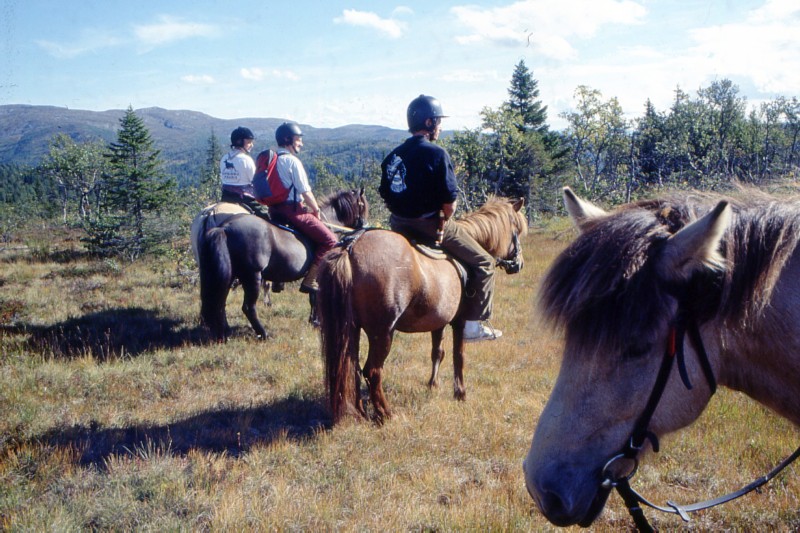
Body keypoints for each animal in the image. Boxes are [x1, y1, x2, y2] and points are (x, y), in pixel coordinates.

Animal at [197, 188, 368, 340]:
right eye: (363, 206)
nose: (364, 225)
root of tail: (224, 227)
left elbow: (312, 297)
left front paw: (313, 320)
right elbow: (314, 296)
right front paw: (316, 321)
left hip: (228, 275)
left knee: (219, 303)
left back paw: (223, 333)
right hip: (252, 276)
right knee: (248, 307)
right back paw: (263, 334)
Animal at [316, 196, 528, 424]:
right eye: (516, 230)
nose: (519, 263)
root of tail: (350, 248)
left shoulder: (439, 321)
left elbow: (438, 352)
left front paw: (433, 384)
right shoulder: (459, 321)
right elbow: (459, 355)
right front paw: (460, 393)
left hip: (352, 329)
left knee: (352, 368)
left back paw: (361, 411)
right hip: (382, 333)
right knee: (372, 371)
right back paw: (385, 413)